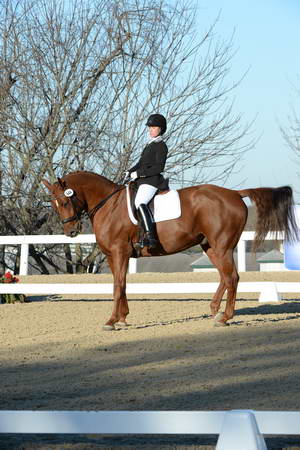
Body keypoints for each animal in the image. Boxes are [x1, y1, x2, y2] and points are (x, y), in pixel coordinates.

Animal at [42, 171, 298, 328]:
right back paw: (215, 310)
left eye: (65, 201)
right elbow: (121, 284)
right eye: (53, 204)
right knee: (225, 277)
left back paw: (224, 317)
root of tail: (235, 194)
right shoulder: (114, 256)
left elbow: (117, 286)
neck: (109, 205)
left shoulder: (119, 252)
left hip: (222, 245)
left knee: (232, 277)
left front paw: (112, 321)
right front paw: (122, 318)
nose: (71, 232)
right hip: (210, 246)